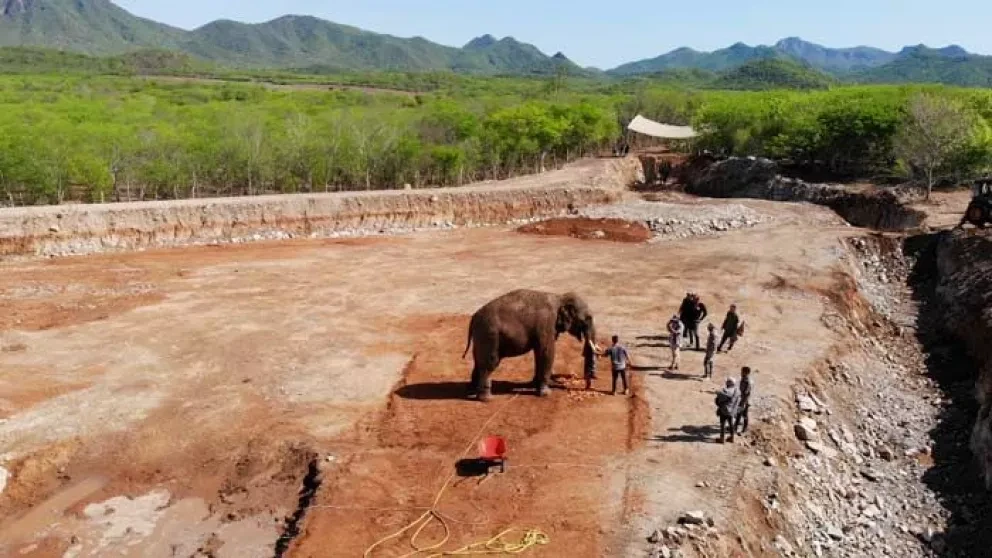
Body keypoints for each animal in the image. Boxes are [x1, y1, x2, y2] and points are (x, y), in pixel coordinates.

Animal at [461, 289, 596, 402]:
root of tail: (474, 317)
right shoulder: (546, 325)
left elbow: (539, 352)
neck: (560, 297)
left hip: (481, 337)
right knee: (489, 364)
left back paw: (472, 391)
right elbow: (547, 352)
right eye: (588, 318)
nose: (588, 386)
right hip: (490, 335)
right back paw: (487, 399)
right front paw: (546, 393)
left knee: (478, 362)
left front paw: (535, 384)